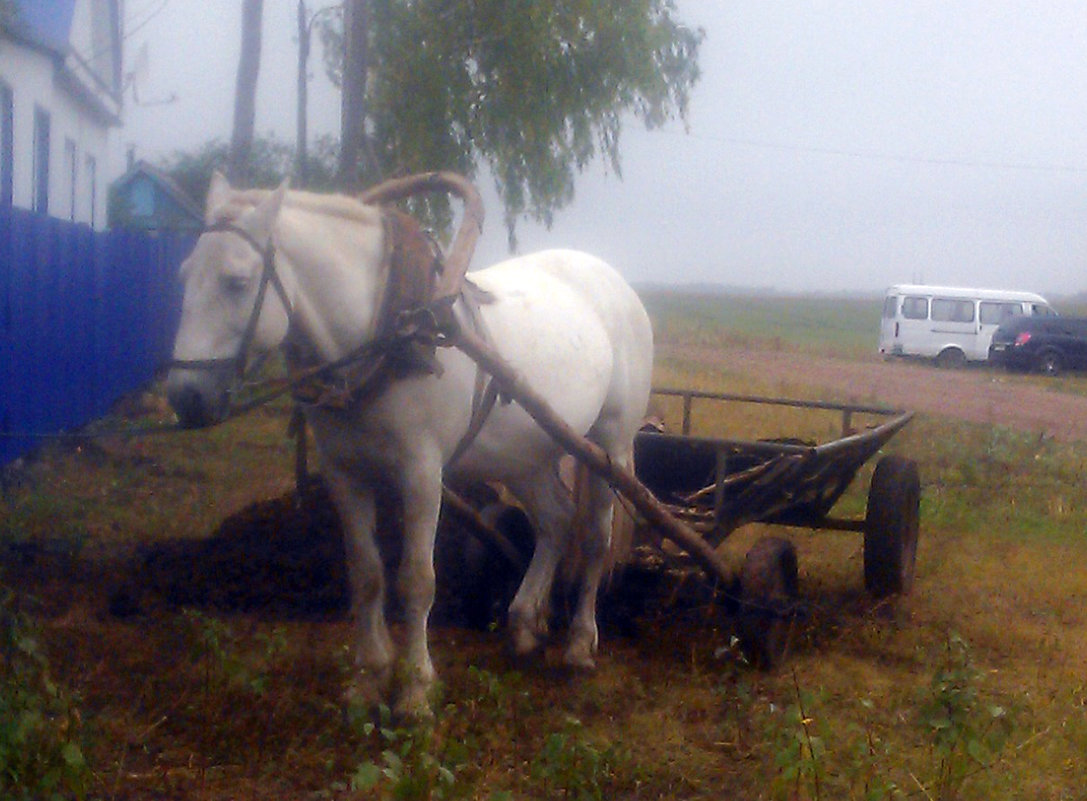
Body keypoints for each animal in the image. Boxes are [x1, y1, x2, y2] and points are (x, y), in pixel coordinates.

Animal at [165, 173, 647, 712]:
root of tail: (612, 280)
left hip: (610, 443)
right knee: (556, 522)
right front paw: (369, 676)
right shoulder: (345, 473)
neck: (386, 335)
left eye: (236, 281)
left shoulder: (420, 474)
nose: (186, 397)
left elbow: (417, 579)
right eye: (184, 276)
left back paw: (581, 642)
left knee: (595, 535)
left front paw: (415, 688)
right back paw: (524, 624)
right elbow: (366, 573)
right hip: (526, 455)